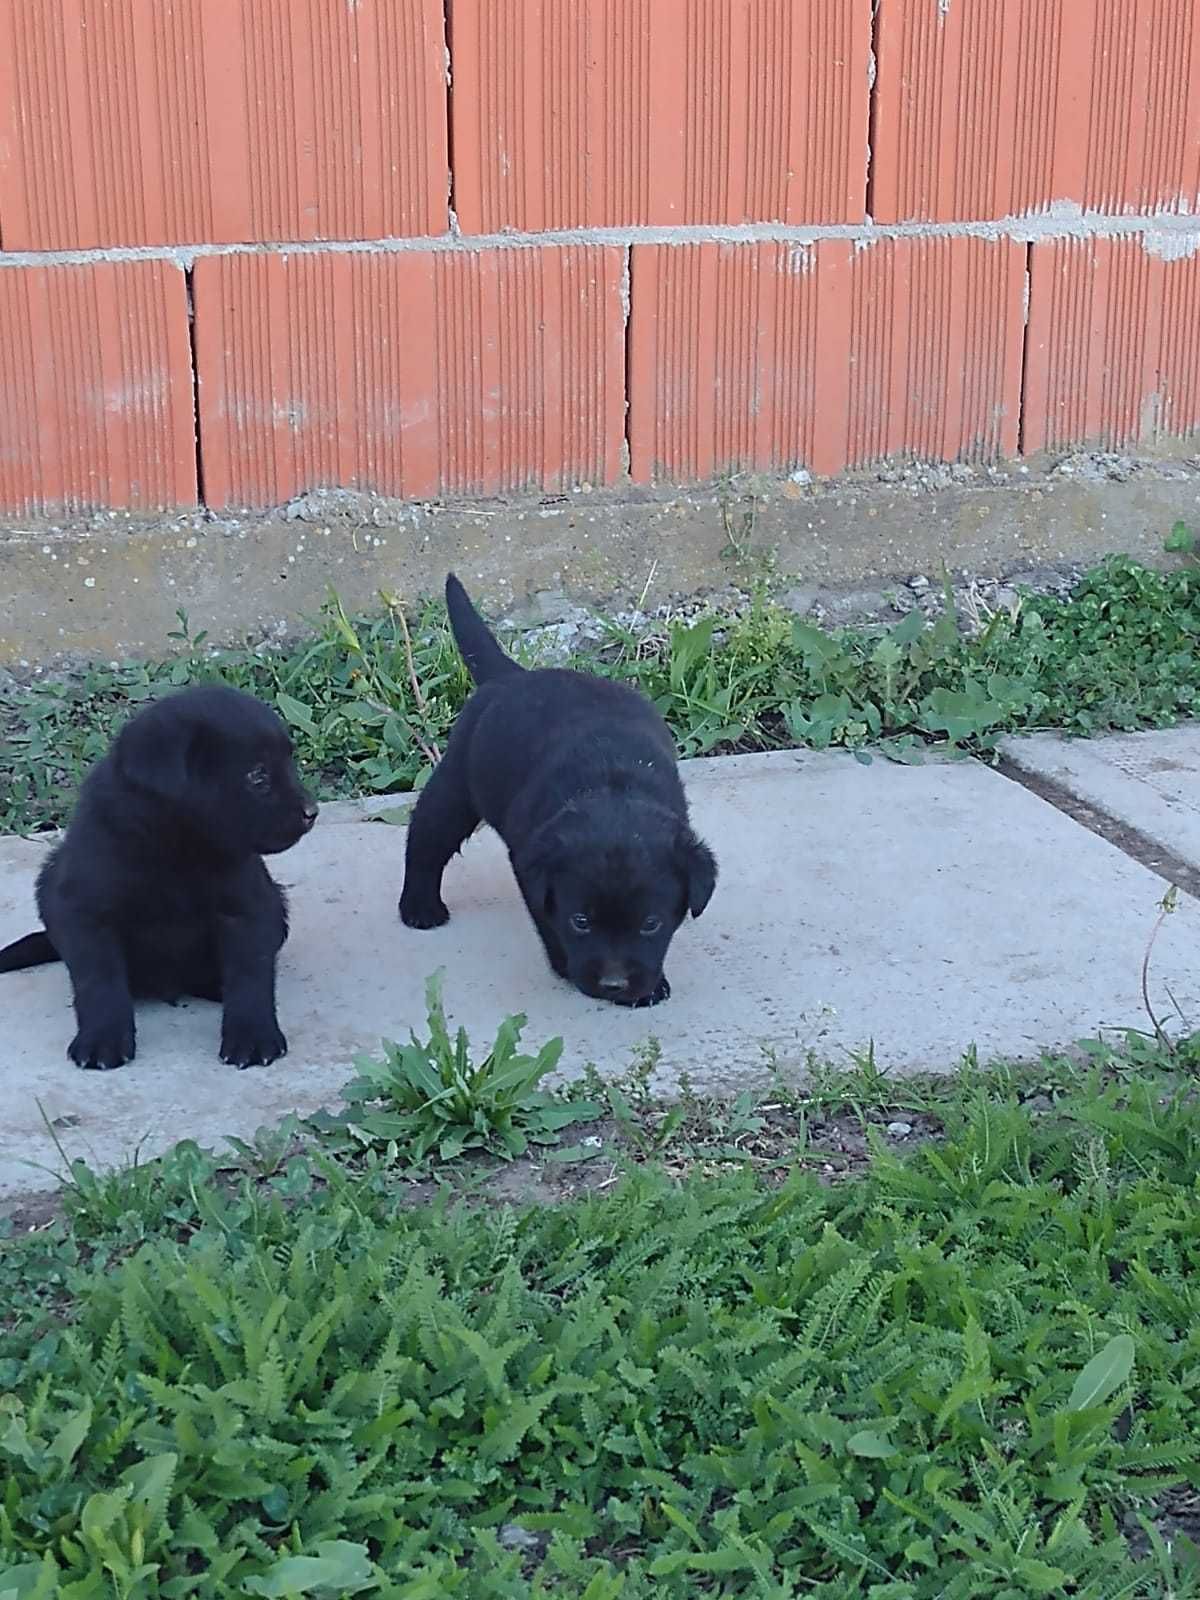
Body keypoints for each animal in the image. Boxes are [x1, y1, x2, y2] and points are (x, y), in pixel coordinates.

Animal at [0, 681, 320, 1068]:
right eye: (257, 776)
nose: (312, 812)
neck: (176, 845)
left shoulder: (249, 907)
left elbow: (250, 973)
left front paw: (253, 1035)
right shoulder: (84, 911)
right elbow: (98, 980)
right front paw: (102, 1038)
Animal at [404, 572, 720, 998]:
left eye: (651, 924)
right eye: (580, 922)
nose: (613, 984)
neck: (611, 786)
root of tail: (512, 675)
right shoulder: (530, 870)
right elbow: (547, 920)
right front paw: (565, 966)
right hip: (454, 788)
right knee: (426, 838)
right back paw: (419, 906)